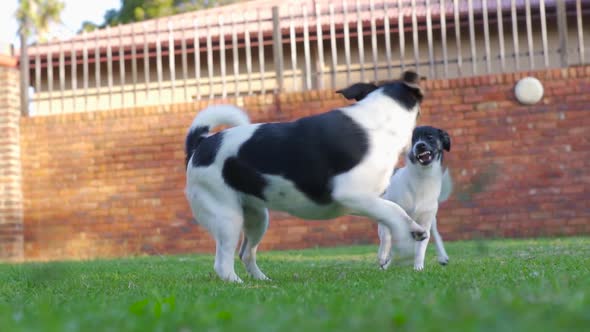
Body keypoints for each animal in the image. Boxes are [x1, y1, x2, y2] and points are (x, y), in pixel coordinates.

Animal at [186, 71, 430, 282]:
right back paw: (238, 284)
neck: (380, 118)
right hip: (228, 218)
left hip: (257, 218)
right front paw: (407, 246)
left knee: (246, 253)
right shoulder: (351, 195)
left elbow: (391, 214)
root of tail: (200, 144)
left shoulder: (362, 201)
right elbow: (393, 214)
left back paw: (263, 280)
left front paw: (410, 233)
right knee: (222, 263)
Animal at [376, 126, 456, 272]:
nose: (420, 145)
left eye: (430, 137)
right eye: (411, 140)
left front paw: (418, 267)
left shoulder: (425, 223)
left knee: (434, 233)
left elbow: (421, 248)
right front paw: (383, 257)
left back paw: (442, 256)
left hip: (431, 219)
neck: (422, 179)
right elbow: (386, 237)